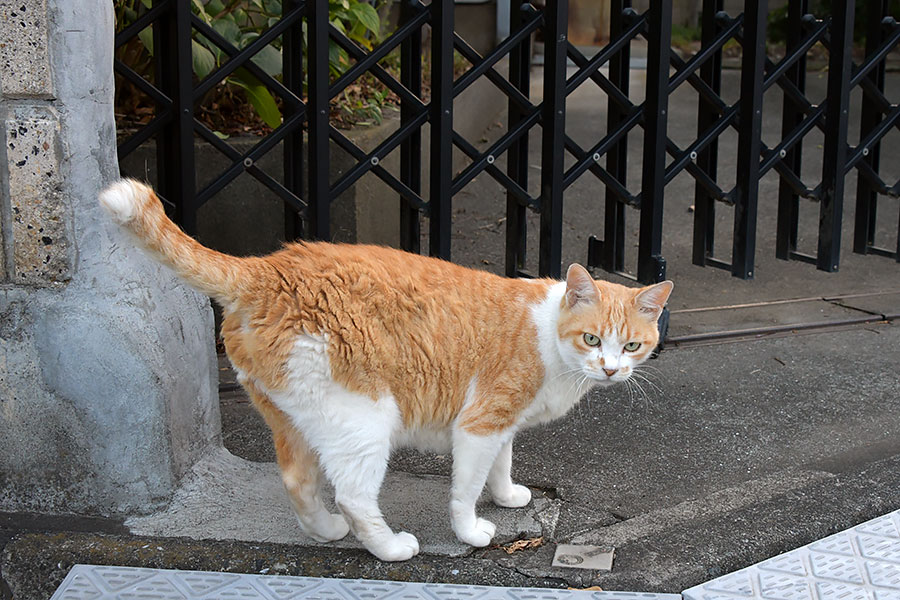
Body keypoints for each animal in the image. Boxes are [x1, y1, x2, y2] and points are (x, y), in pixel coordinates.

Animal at [102, 179, 672, 564]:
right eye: (593, 339)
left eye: (632, 345)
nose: (611, 369)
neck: (550, 337)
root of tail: (264, 270)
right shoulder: (480, 422)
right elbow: (466, 487)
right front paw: (471, 529)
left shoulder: (500, 423)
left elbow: (502, 462)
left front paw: (508, 494)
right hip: (365, 422)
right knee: (354, 495)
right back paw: (390, 547)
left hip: (297, 417)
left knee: (298, 481)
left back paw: (326, 531)